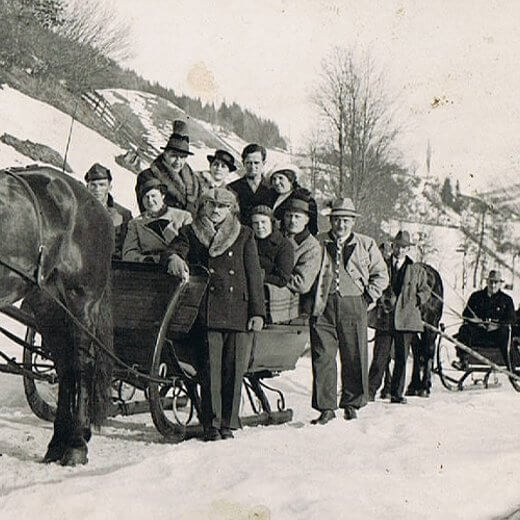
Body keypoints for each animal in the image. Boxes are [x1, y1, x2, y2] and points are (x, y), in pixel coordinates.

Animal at [0, 165, 114, 466]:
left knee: (81, 366)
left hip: (80, 303)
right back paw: (58, 444)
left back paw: (75, 445)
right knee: (65, 367)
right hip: (48, 306)